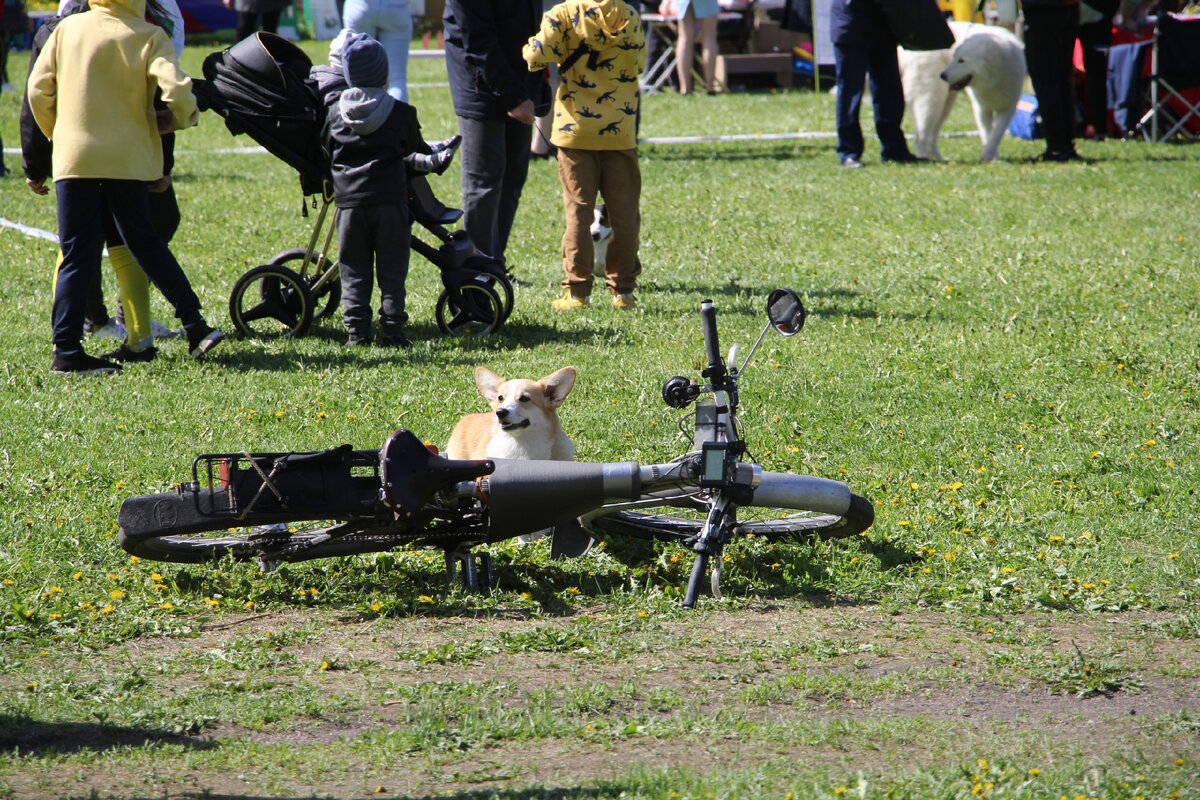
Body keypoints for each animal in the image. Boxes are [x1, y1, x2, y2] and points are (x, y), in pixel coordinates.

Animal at [902, 21, 1022, 163]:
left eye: (961, 60)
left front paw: (992, 157)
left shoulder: (1008, 108)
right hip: (930, 101)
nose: (942, 75)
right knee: (922, 138)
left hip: (944, 105)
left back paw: (940, 159)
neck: (994, 78)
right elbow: (988, 134)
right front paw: (990, 158)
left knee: (932, 136)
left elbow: (996, 135)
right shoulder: (982, 109)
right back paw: (925, 159)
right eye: (954, 57)